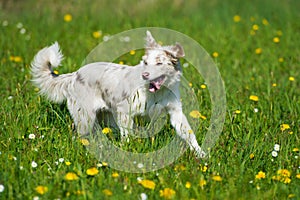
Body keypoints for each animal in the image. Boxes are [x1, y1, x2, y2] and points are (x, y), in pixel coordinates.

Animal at [31, 31, 206, 159]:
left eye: (159, 63)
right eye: (145, 62)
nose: (145, 75)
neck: (158, 92)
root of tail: (74, 75)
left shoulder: (176, 113)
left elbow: (189, 135)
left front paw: (201, 154)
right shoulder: (125, 111)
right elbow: (127, 135)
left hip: (106, 117)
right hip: (85, 119)